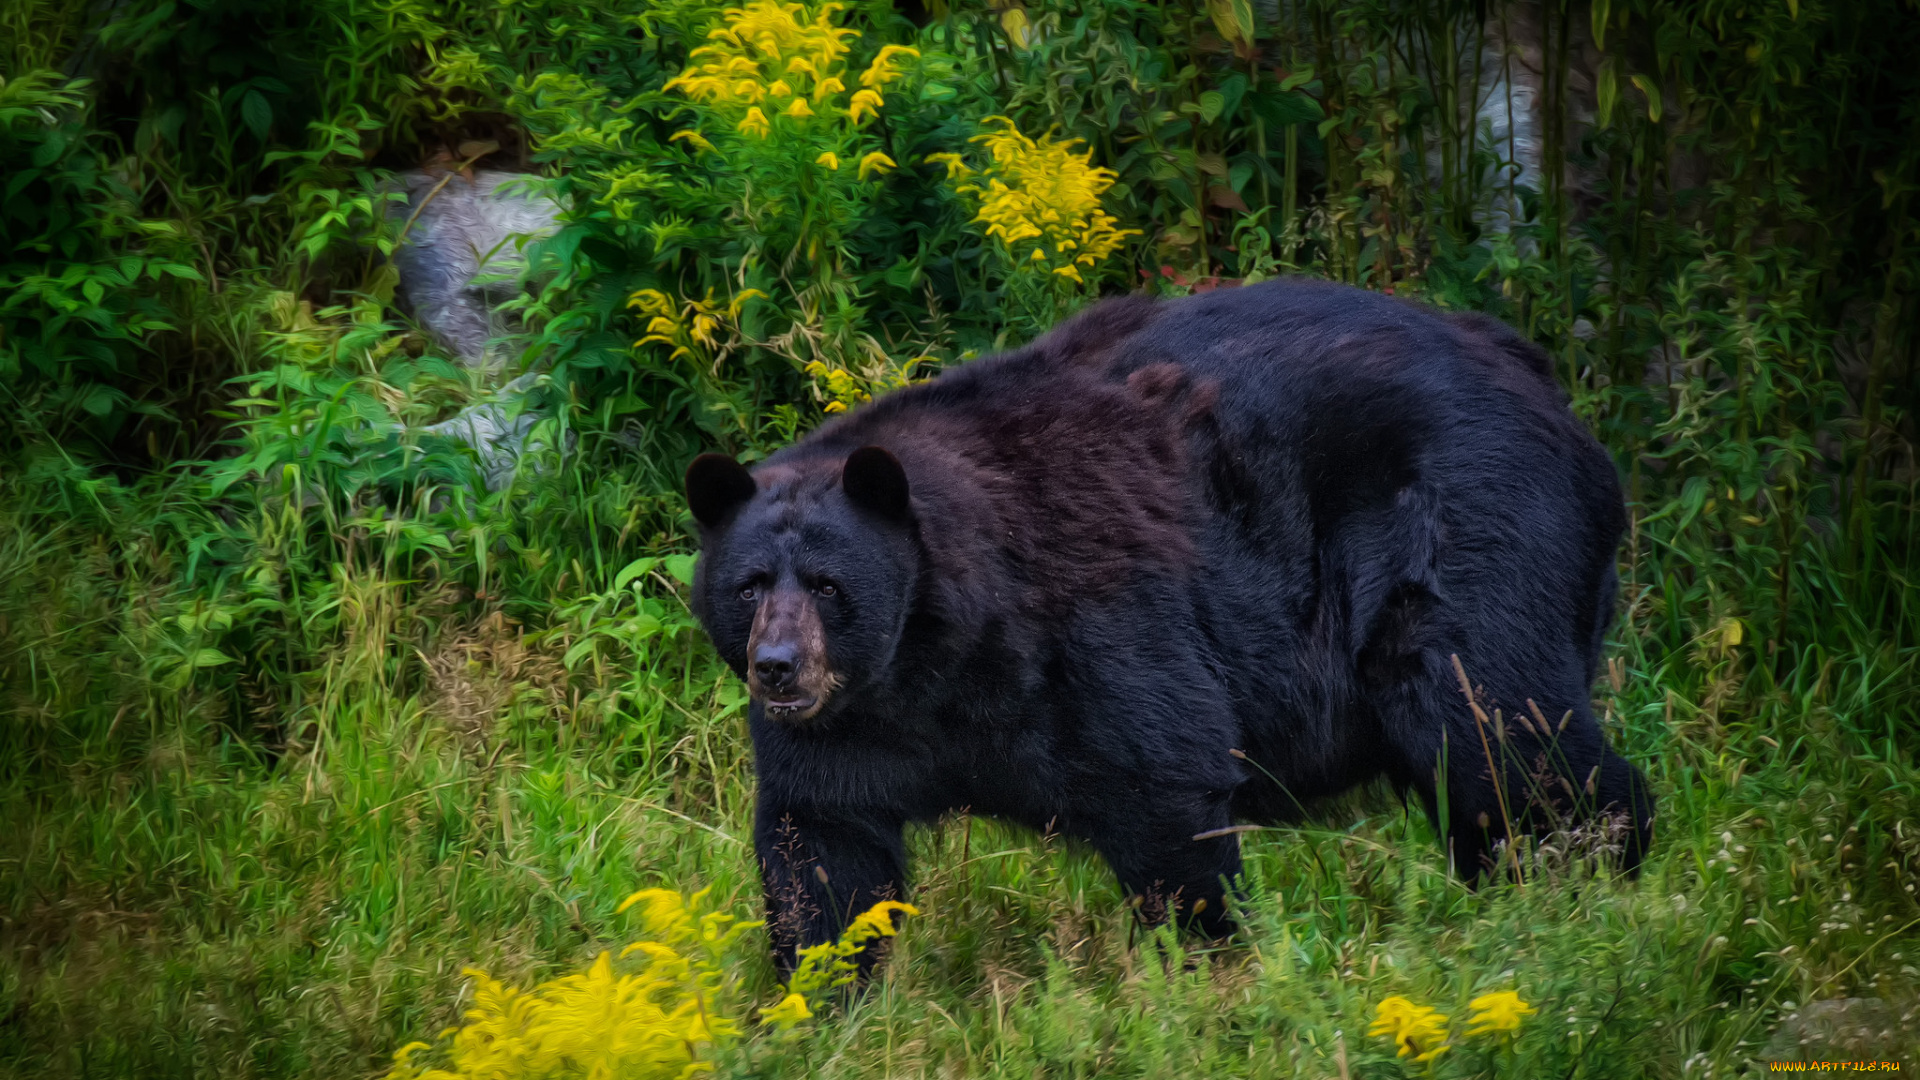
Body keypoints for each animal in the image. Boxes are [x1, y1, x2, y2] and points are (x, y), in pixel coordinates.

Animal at [687, 276, 1651, 968]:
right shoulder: (848, 729)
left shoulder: (1101, 623)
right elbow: (823, 850)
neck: (934, 660)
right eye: (748, 585)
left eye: (828, 584)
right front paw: (815, 1002)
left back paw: (1581, 896)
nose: (779, 665)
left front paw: (1208, 970)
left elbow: (1165, 784)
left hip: (1473, 532)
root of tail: (1538, 374)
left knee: (1495, 725)